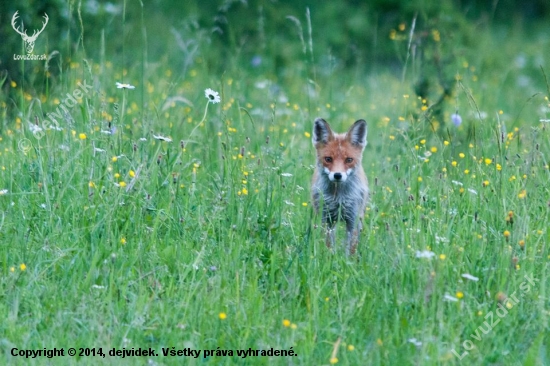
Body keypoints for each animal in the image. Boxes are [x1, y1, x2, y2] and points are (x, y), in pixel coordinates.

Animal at [312, 118, 368, 256]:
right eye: (328, 159)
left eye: (349, 160)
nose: (337, 175)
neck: (339, 197)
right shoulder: (326, 218)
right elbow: (328, 244)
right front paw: (329, 258)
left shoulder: (353, 219)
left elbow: (350, 248)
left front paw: (346, 261)